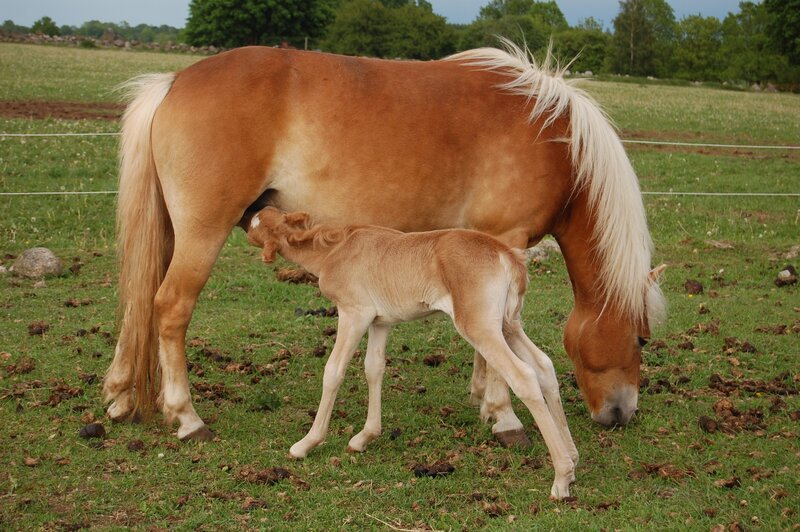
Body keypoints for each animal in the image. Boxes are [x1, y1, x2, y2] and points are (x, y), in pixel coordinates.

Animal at [103, 39, 666, 443]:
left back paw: (122, 397)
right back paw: (187, 417)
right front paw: (503, 415)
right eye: (640, 338)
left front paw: (482, 399)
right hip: (202, 233)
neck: (554, 137)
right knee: (170, 308)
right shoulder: (502, 240)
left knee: (139, 303)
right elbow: (499, 345)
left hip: (172, 233)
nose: (621, 414)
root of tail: (173, 81)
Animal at [245, 206, 579, 498]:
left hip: (480, 326)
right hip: (509, 325)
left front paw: (306, 444)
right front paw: (364, 437)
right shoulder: (380, 322)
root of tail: (507, 256)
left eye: (256, 226)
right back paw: (573, 459)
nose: (247, 218)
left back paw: (561, 478)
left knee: (523, 376)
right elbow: (374, 368)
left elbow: (334, 370)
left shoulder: (354, 313)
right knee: (544, 366)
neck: (334, 250)